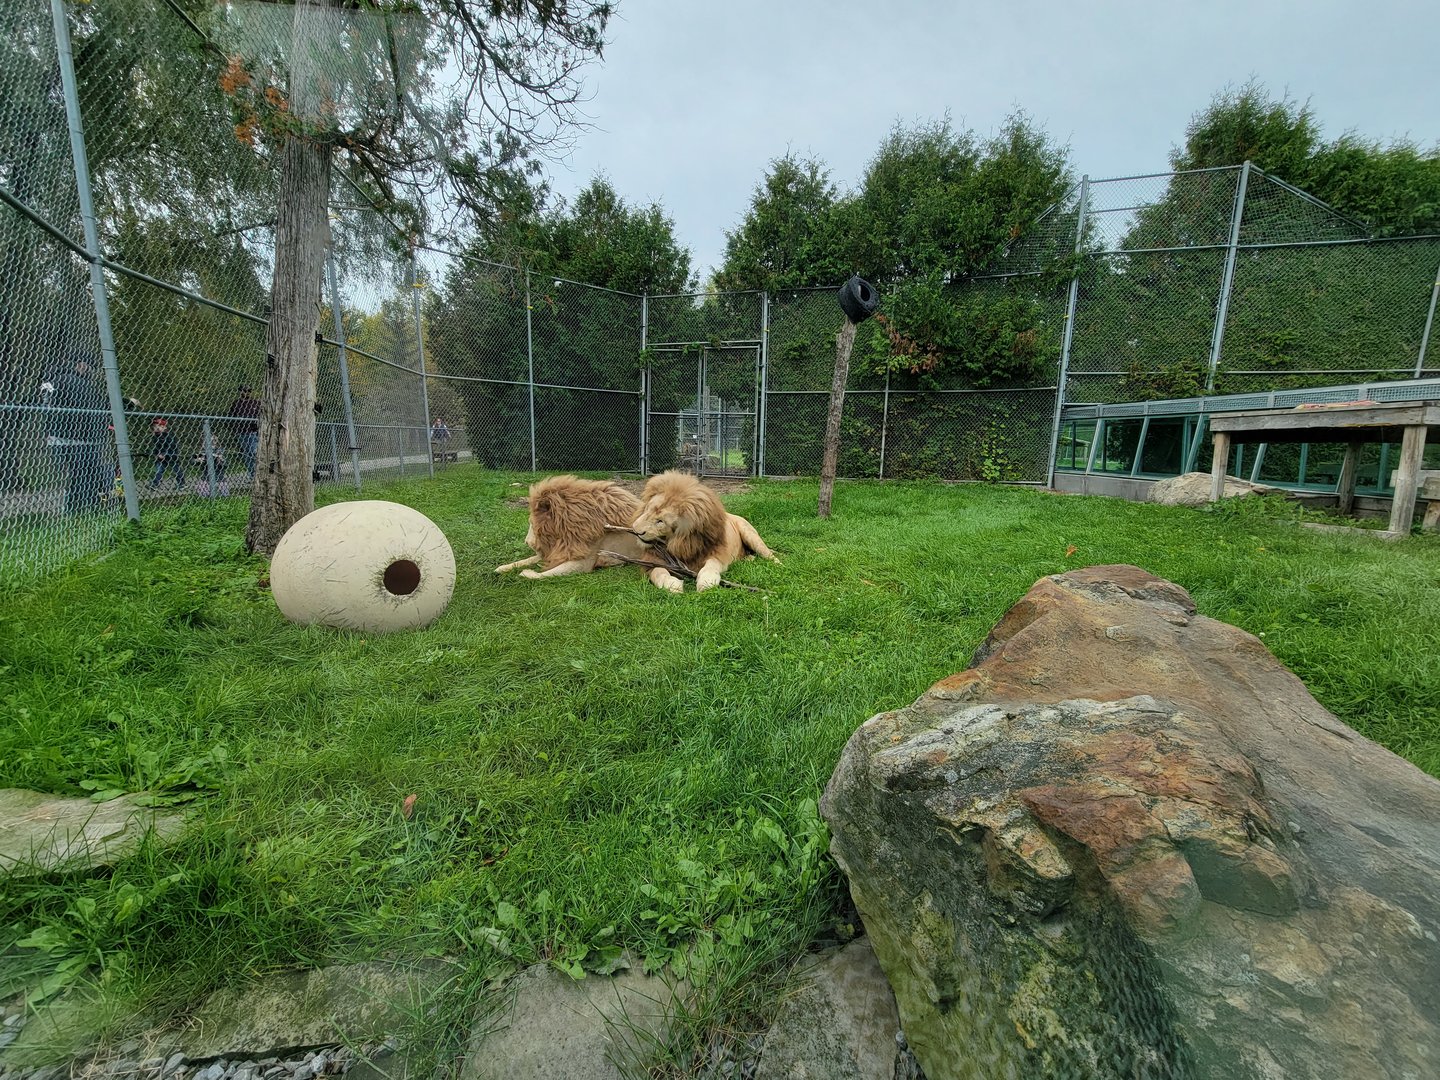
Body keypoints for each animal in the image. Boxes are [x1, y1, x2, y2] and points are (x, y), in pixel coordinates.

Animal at [494, 475, 659, 581]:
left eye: (531, 522)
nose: (526, 542)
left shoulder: (583, 562)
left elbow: (543, 574)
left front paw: (525, 573)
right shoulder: (558, 551)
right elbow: (525, 560)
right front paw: (502, 568)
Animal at [630, 470, 778, 592]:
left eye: (660, 521)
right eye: (647, 509)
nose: (636, 530)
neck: (683, 544)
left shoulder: (718, 552)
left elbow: (711, 565)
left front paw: (706, 582)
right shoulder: (652, 561)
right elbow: (659, 571)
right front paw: (672, 584)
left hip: (750, 535)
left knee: (770, 555)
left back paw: (778, 565)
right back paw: (749, 558)